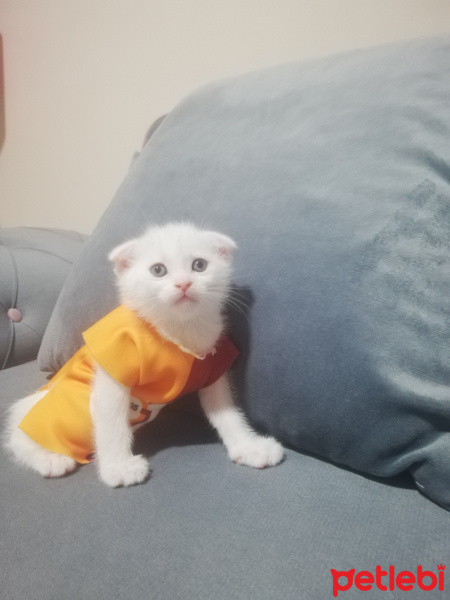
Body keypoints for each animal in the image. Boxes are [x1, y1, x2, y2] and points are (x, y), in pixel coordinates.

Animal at [4, 223, 284, 486]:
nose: (183, 283)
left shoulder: (212, 366)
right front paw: (119, 468)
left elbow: (226, 411)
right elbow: (112, 422)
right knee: (18, 437)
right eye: (158, 270)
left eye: (199, 265)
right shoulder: (115, 361)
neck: (177, 330)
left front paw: (248, 446)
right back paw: (49, 458)